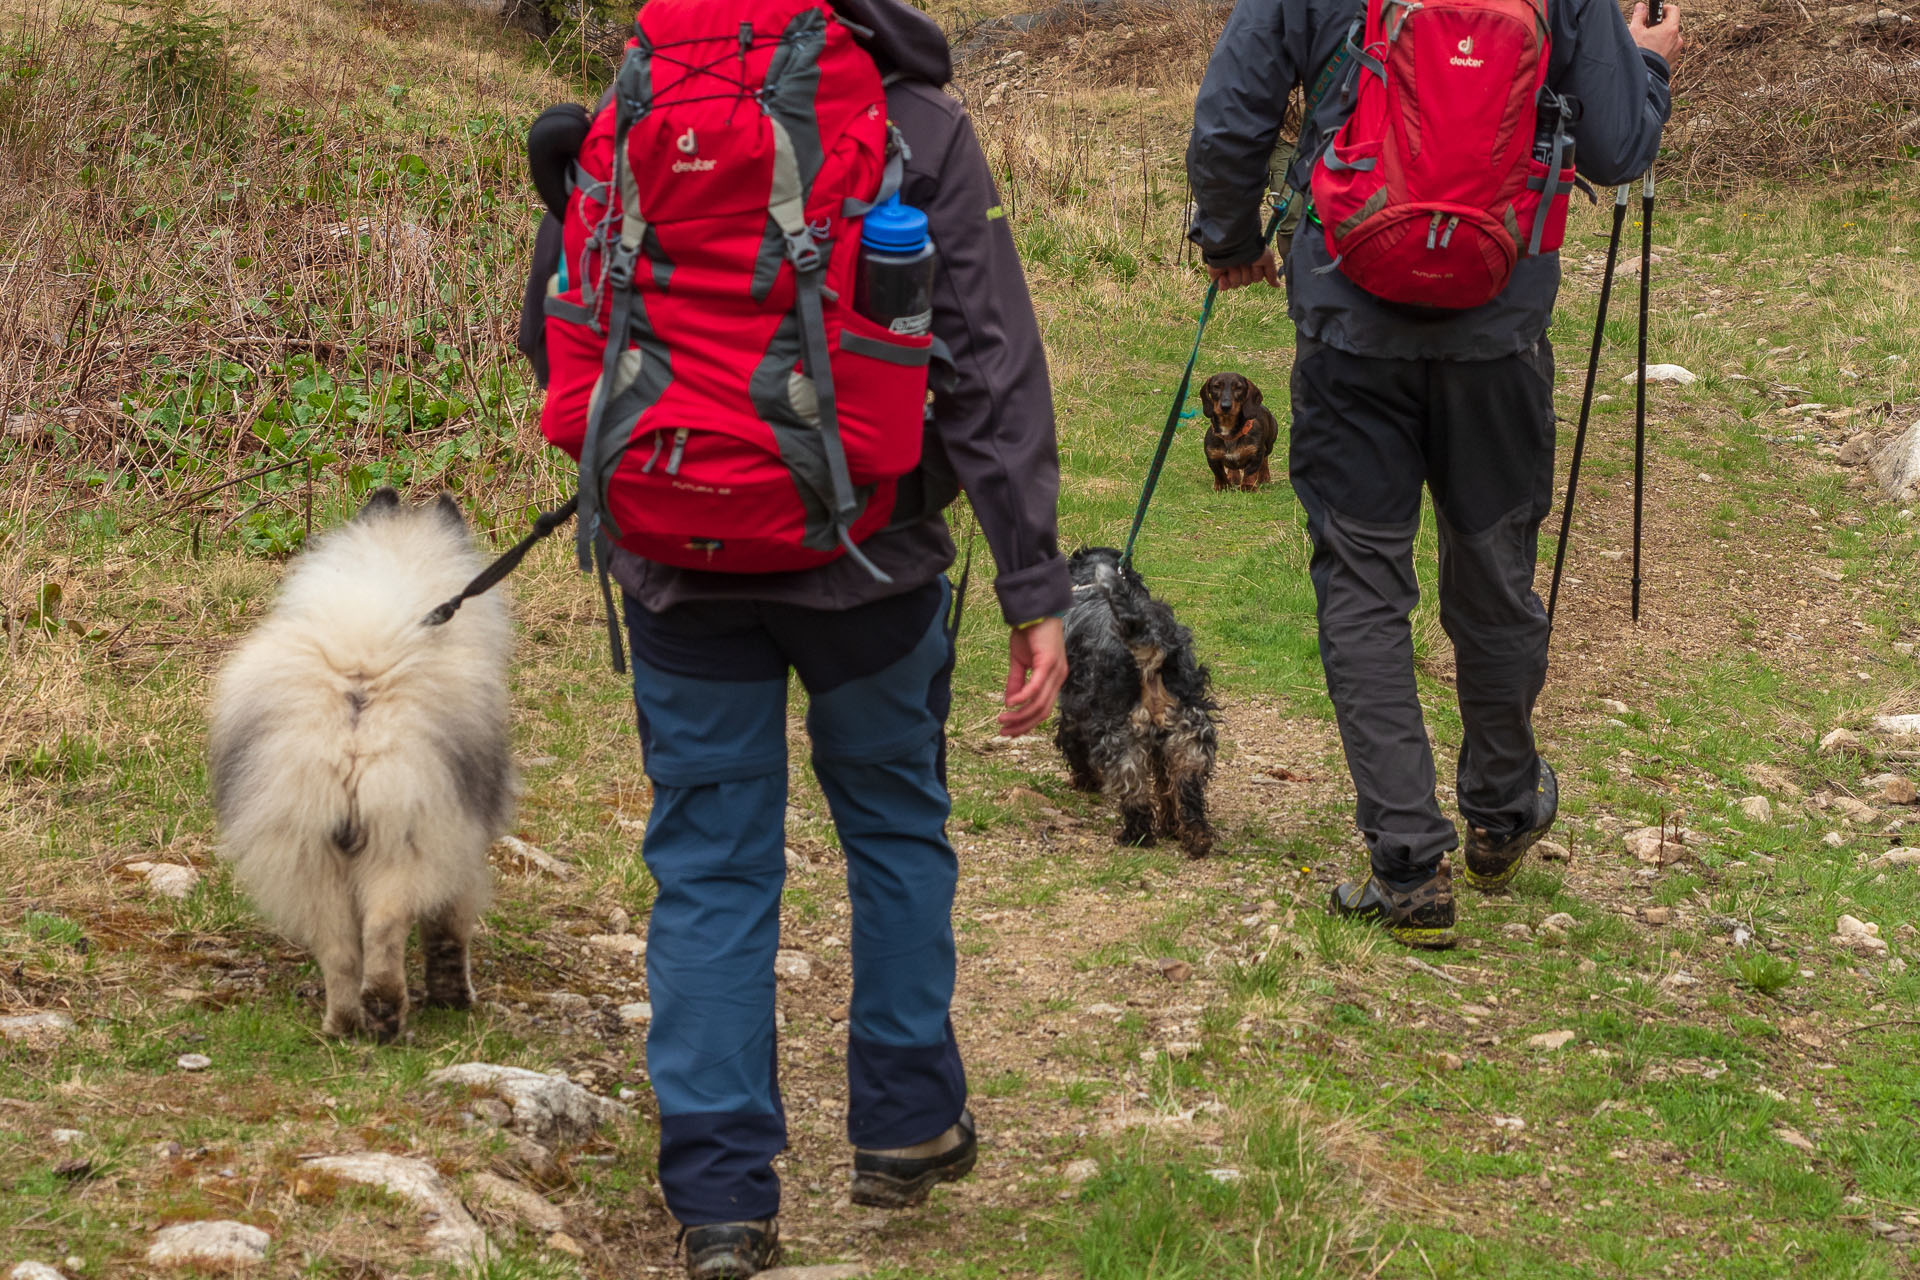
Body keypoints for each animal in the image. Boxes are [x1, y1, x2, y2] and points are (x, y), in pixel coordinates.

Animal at [210, 491, 514, 1043]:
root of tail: (354, 722)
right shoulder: (461, 848)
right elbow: (448, 934)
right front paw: (455, 995)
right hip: (406, 842)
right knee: (384, 928)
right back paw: (386, 1010)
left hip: (307, 853)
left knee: (339, 952)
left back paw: (344, 1023)